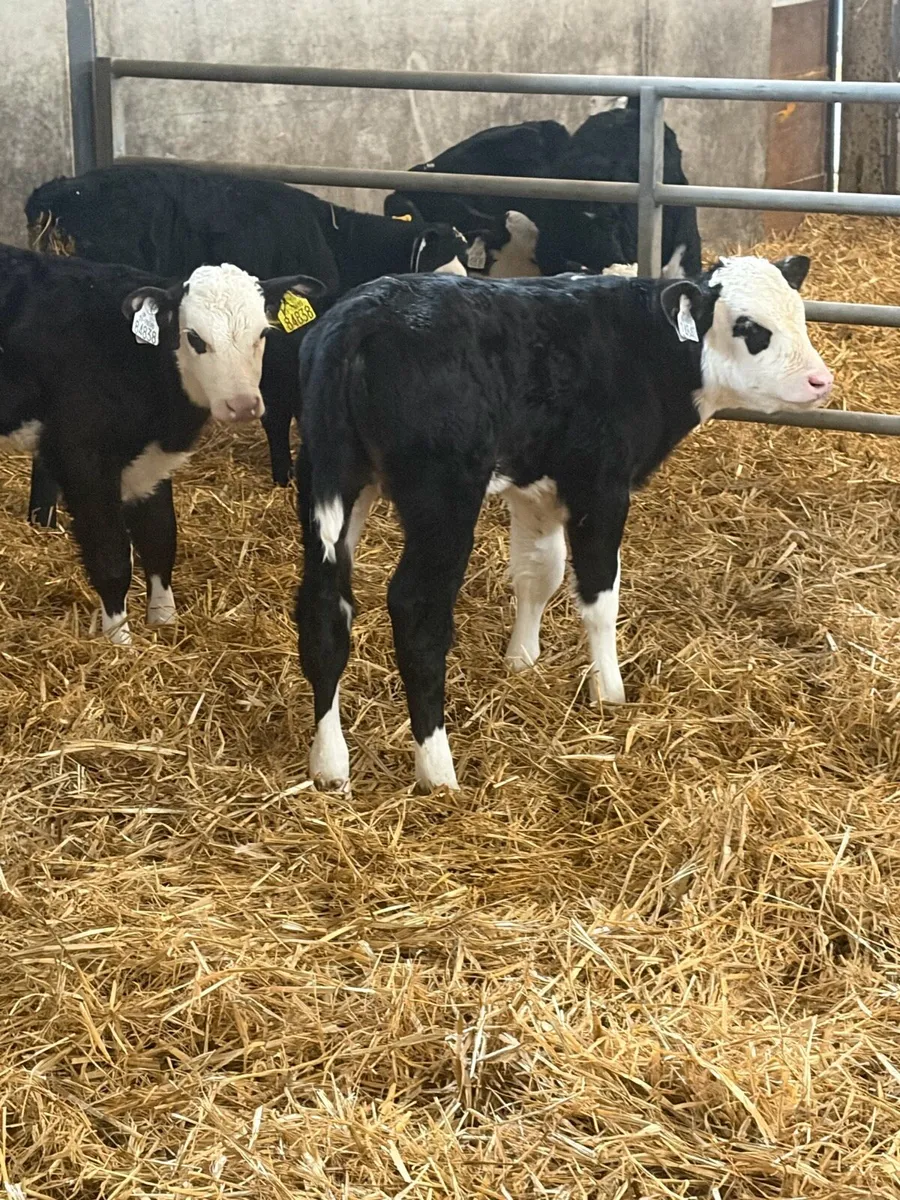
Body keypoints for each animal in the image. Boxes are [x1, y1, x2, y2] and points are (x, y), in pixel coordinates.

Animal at [0, 243, 322, 643]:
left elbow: (160, 538)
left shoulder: (151, 462)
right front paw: (120, 641)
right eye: (195, 338)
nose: (243, 405)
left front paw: (166, 622)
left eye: (262, 333)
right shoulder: (83, 459)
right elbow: (112, 557)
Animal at [293, 255, 832, 793]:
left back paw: (329, 762)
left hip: (330, 483)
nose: (819, 380)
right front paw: (608, 690)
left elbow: (539, 574)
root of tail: (365, 313)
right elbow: (599, 596)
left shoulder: (536, 487)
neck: (639, 348)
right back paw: (437, 768)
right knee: (416, 611)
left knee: (324, 605)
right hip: (443, 499)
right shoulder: (601, 488)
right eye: (748, 326)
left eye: (799, 313)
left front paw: (522, 660)